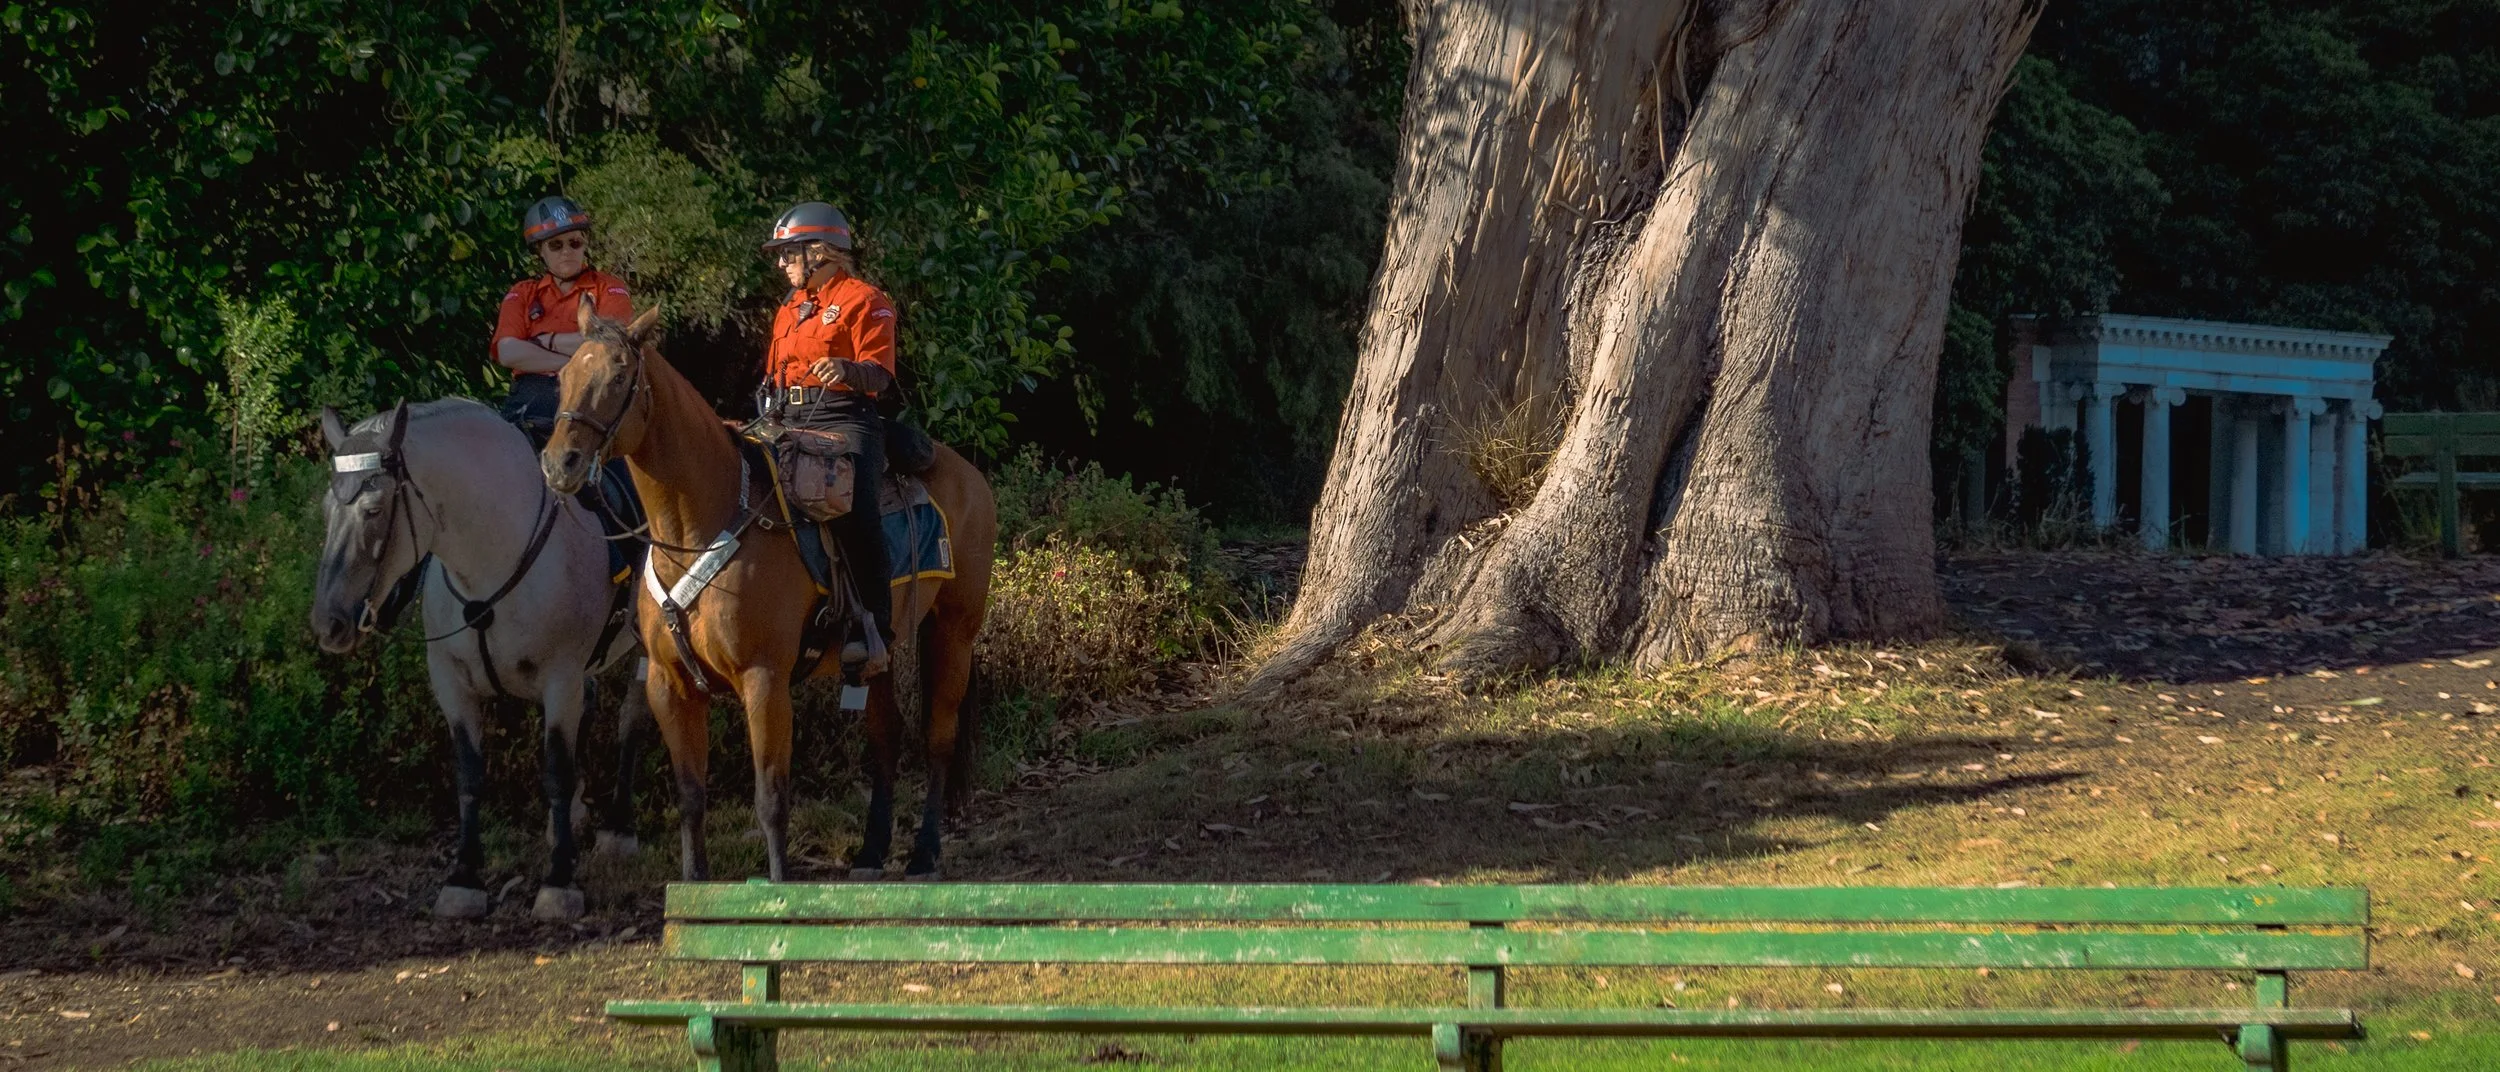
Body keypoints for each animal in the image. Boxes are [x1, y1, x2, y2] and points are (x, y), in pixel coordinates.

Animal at [310, 398, 653, 920]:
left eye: (373, 510)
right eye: (328, 510)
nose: (328, 624)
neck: (491, 561)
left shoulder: (560, 680)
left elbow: (556, 770)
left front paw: (558, 882)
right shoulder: (452, 684)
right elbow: (470, 776)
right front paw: (464, 877)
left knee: (630, 721)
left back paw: (619, 827)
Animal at [538, 306, 996, 882]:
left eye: (619, 377)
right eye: (563, 376)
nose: (560, 463)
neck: (699, 526)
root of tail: (969, 474)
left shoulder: (765, 680)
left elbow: (771, 799)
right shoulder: (670, 685)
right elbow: (691, 797)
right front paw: (695, 883)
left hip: (953, 633)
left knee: (939, 739)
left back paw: (925, 852)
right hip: (883, 650)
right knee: (886, 739)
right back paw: (872, 851)